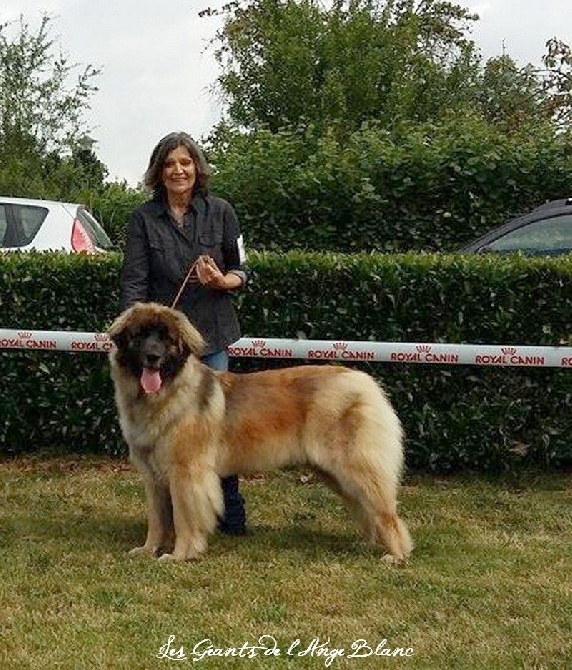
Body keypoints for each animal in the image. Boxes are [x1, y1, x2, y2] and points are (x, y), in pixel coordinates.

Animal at [107, 302, 412, 564]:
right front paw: (148, 550)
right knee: (366, 507)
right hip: (335, 473)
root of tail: (364, 381)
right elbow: (157, 519)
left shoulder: (186, 473)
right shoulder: (153, 476)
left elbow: (184, 519)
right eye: (140, 336)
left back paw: (395, 554)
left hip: (353, 466)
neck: (165, 395)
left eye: (166, 338)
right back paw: (371, 544)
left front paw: (179, 555)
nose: (153, 357)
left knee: (385, 510)